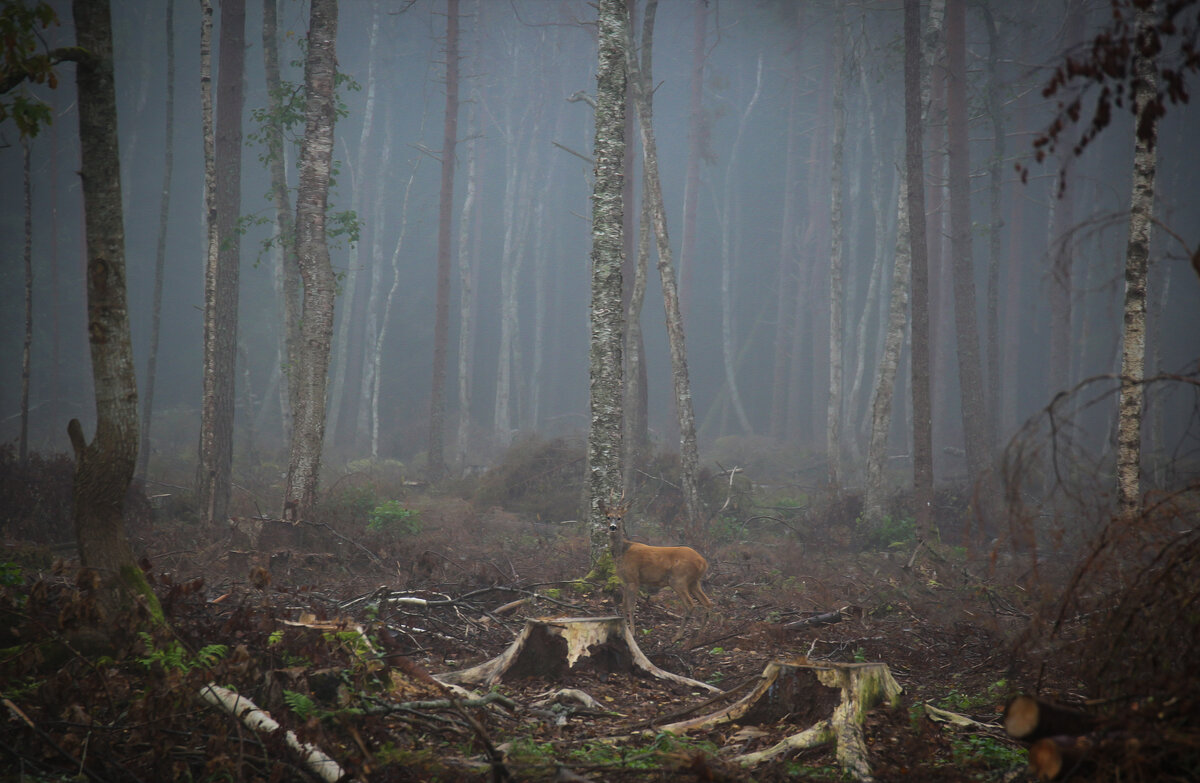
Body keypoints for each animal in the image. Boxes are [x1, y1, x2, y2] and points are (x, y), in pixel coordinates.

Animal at [600, 501, 710, 643]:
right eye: (608, 517)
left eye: (619, 518)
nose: (613, 527)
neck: (622, 552)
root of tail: (703, 562)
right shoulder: (626, 580)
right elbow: (623, 605)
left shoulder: (634, 578)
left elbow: (631, 606)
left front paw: (633, 632)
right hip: (694, 582)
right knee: (707, 602)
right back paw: (700, 634)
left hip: (678, 579)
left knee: (690, 605)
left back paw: (677, 636)